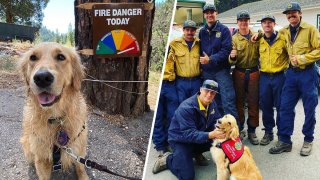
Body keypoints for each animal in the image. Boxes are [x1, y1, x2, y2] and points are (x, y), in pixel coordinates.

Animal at [18, 42, 89, 180]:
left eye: (61, 57)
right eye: (33, 58)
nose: (42, 77)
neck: (56, 118)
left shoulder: (79, 147)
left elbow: (81, 167)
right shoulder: (41, 158)